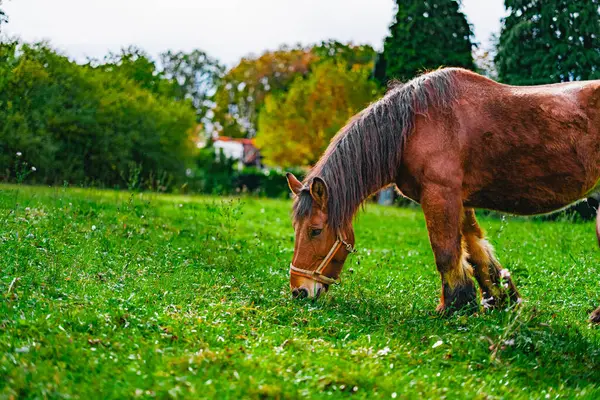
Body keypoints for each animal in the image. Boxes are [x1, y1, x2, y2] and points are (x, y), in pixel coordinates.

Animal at [284, 66, 600, 322]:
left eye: (315, 230)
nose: (299, 291)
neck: (412, 126)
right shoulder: (461, 201)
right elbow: (476, 249)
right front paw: (498, 299)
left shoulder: (440, 194)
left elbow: (446, 252)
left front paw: (455, 305)